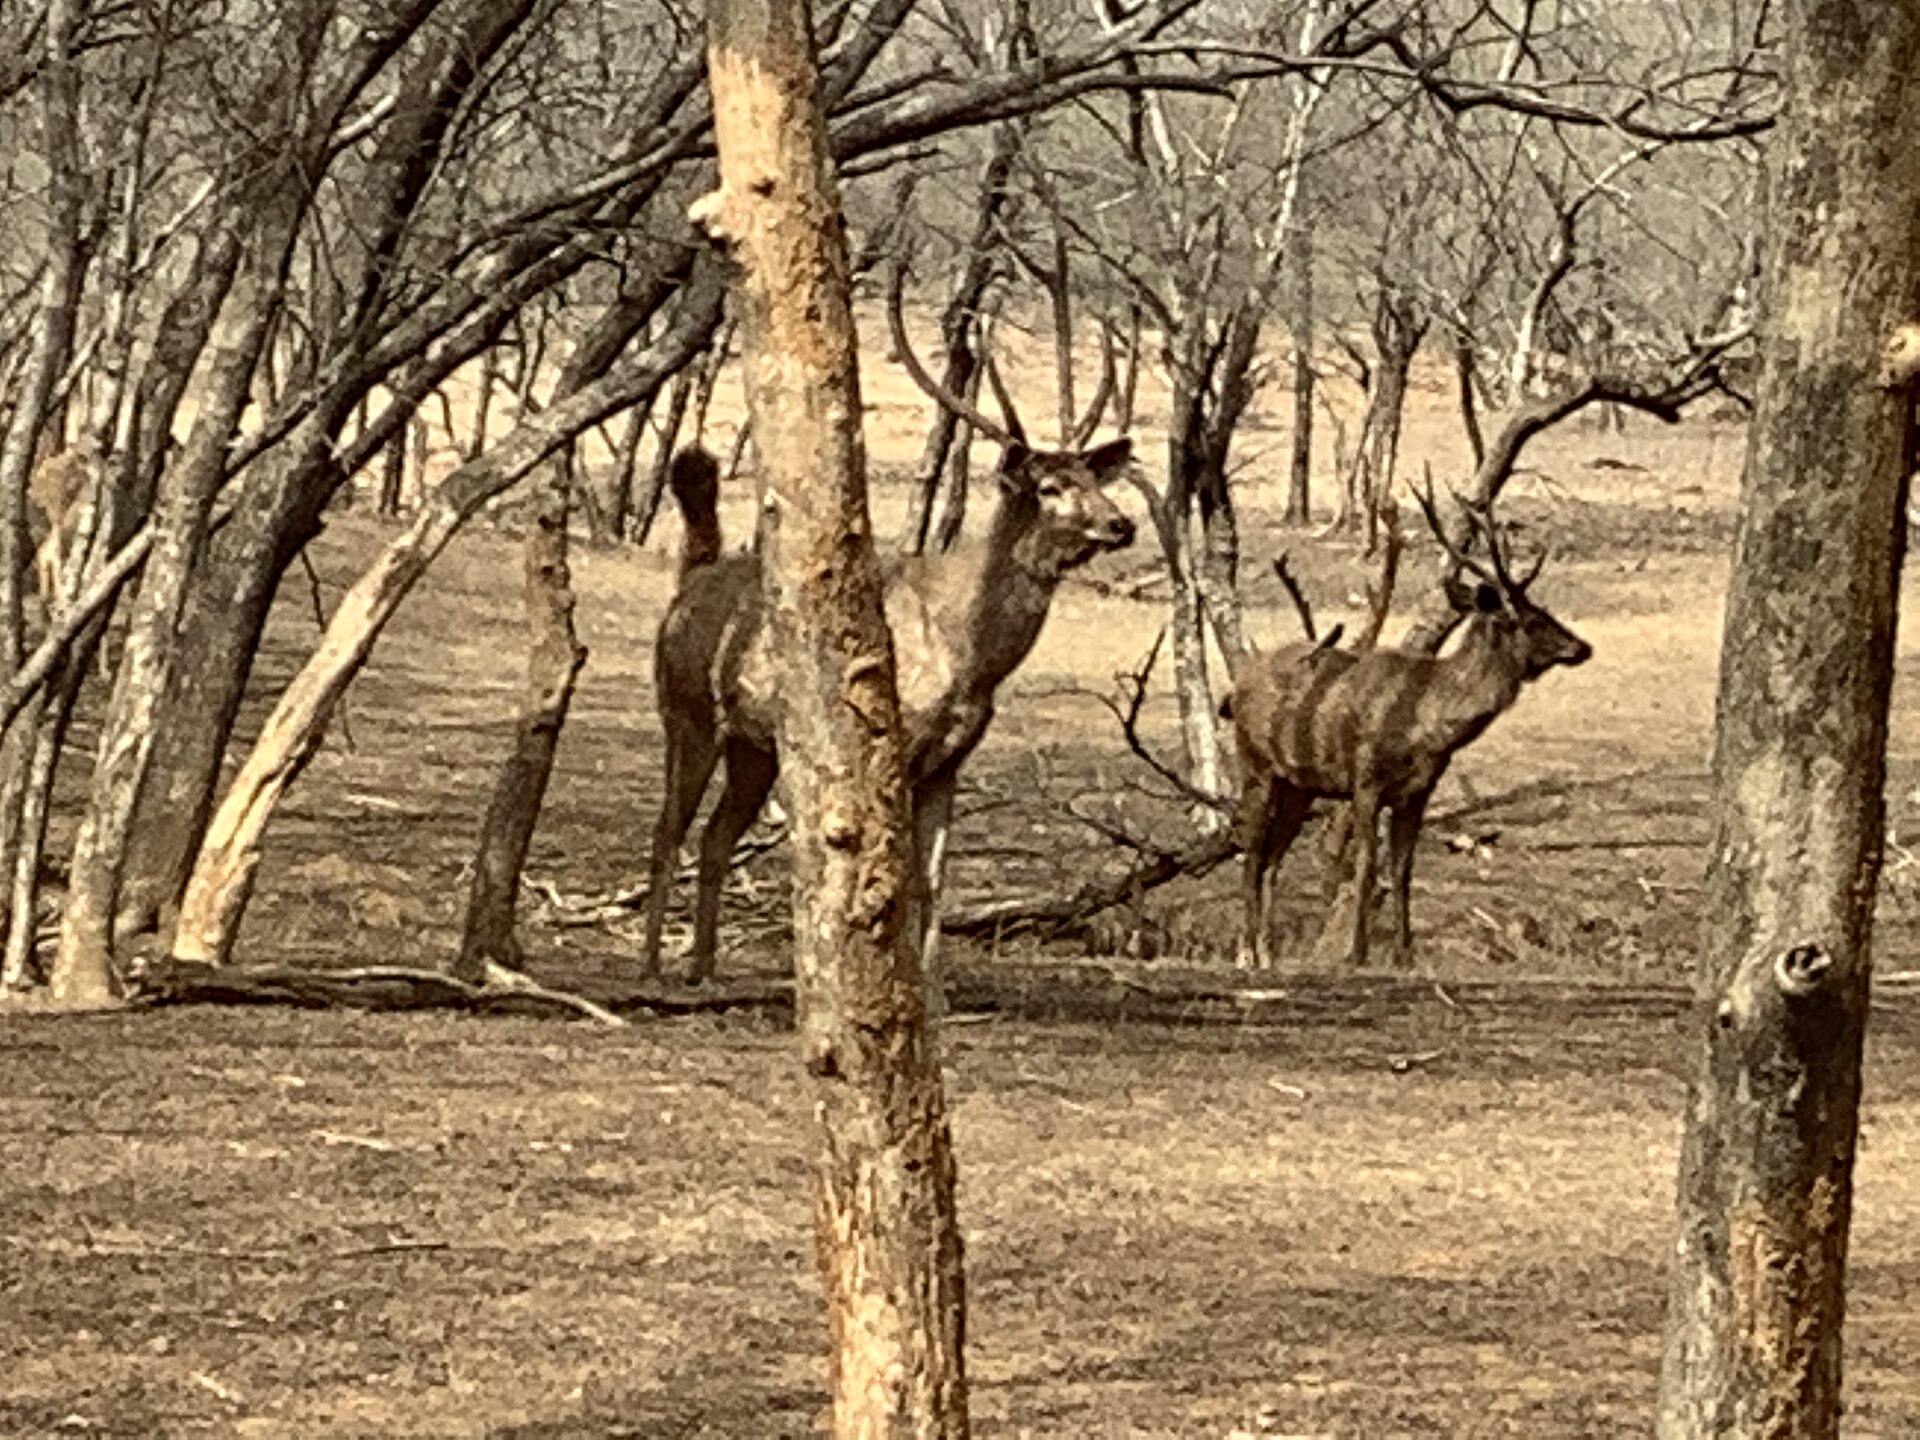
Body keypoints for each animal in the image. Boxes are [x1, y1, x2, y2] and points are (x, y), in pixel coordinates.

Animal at [641, 351, 1136, 985]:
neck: (972, 660)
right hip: (686, 713)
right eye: (1050, 486)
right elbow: (895, 871)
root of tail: (688, 583)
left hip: (755, 747)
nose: (1121, 524)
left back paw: (703, 964)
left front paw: (936, 989)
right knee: (667, 830)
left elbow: (933, 880)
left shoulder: (950, 760)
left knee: (715, 835)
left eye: (1097, 481)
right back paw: (651, 964)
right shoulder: (898, 741)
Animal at [1226, 487, 1591, 970]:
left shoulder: (1419, 791)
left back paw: (1268, 953)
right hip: (1256, 762)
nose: (1582, 647)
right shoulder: (1365, 781)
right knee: (1251, 853)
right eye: (1530, 620)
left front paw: (1404, 955)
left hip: (1299, 787)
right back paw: (1246, 953)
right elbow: (1366, 866)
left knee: (1270, 859)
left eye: (1545, 610)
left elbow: (1402, 870)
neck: (1427, 724)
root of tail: (1237, 684)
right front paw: (1356, 953)